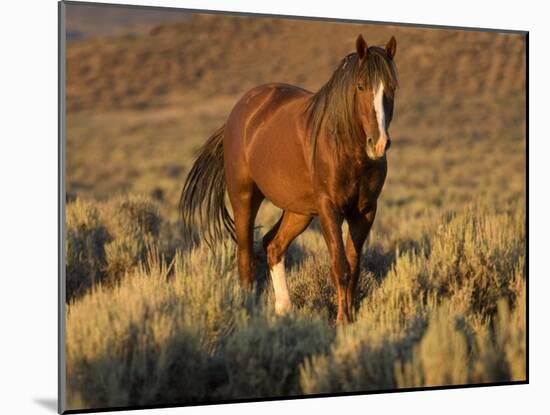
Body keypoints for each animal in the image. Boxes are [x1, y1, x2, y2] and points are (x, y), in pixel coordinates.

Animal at [183, 34, 398, 324]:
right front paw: (341, 321)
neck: (344, 147)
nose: (379, 144)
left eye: (392, 87)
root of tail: (239, 112)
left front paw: (350, 319)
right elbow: (340, 266)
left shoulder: (364, 212)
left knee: (273, 246)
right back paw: (249, 312)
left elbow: (354, 268)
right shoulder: (329, 209)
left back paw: (284, 309)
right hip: (245, 197)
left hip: (299, 212)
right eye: (361, 85)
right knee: (245, 257)